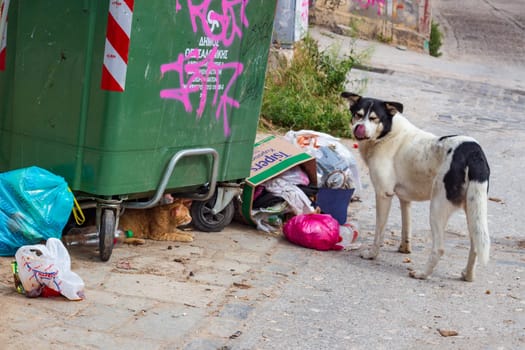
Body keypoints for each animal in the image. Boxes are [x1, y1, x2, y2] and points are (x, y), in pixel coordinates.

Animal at [342, 91, 490, 282]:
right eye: (358, 115)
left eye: (374, 118)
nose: (358, 128)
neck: (387, 134)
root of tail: (473, 151)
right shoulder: (405, 199)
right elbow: (406, 226)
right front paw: (404, 249)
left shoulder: (383, 194)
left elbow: (379, 232)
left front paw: (372, 254)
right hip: (473, 208)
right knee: (476, 245)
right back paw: (468, 275)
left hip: (437, 207)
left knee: (439, 248)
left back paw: (422, 274)